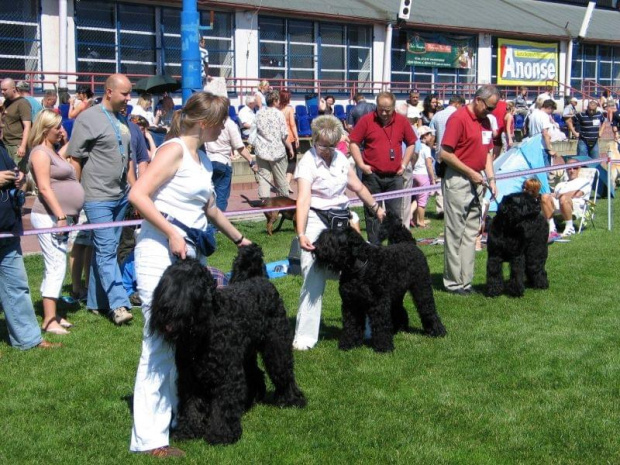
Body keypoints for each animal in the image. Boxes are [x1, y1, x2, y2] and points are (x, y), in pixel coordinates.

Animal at [149, 243, 306, 442]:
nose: (165, 309)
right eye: (165, 282)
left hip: (276, 346)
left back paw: (291, 399)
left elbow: (224, 403)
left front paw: (221, 433)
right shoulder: (189, 376)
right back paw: (252, 398)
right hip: (247, 354)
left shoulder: (227, 373)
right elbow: (191, 404)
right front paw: (188, 430)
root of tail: (261, 280)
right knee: (255, 373)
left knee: (283, 371)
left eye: (189, 285)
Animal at [314, 214, 446, 352]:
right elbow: (351, 325)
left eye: (331, 240)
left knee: (427, 308)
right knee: (399, 309)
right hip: (396, 294)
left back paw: (437, 331)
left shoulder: (378, 303)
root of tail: (409, 243)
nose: (315, 246)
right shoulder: (351, 303)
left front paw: (384, 347)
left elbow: (381, 324)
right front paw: (348, 344)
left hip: (421, 288)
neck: (360, 267)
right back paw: (399, 328)